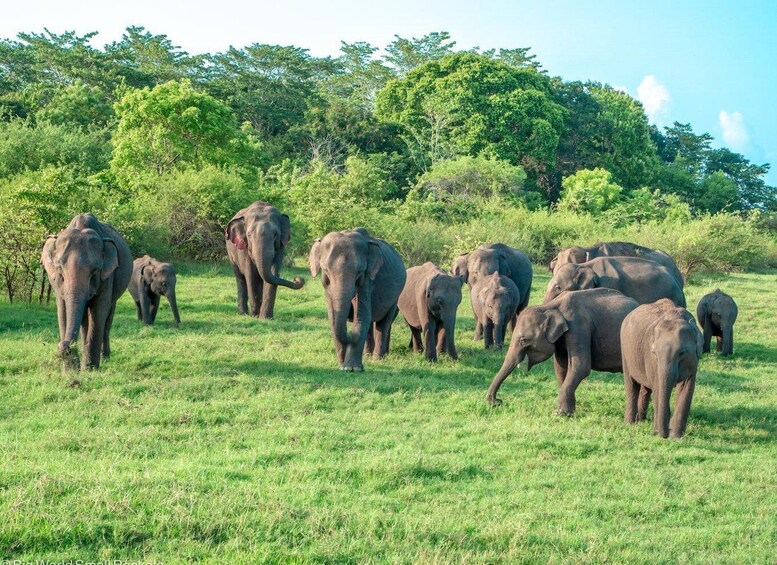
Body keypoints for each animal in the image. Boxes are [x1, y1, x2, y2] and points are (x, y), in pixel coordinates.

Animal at [40, 213, 132, 370]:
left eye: (94, 271)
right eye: (60, 270)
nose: (64, 346)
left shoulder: (107, 277)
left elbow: (99, 311)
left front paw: (90, 368)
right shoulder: (57, 284)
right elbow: (63, 311)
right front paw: (69, 369)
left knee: (108, 318)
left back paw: (104, 357)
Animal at [310, 227, 406, 372]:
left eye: (360, 271)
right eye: (325, 270)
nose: (350, 336)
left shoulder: (367, 281)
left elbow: (361, 317)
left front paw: (352, 368)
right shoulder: (326, 288)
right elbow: (333, 319)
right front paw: (342, 366)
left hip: (396, 296)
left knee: (384, 323)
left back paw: (378, 358)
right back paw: (367, 355)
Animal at [620, 298, 704, 438]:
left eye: (682, 353)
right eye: (654, 353)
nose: (666, 433)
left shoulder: (693, 361)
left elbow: (687, 388)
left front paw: (676, 437)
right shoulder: (651, 360)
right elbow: (658, 387)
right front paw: (658, 433)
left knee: (645, 389)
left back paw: (641, 420)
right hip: (625, 352)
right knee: (631, 384)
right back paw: (630, 423)